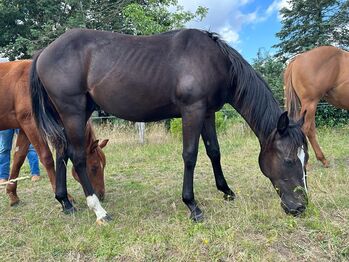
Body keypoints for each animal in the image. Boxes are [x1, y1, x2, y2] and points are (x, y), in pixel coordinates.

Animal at [0, 59, 108, 207]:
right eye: (95, 167)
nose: (101, 195)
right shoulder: (30, 123)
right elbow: (47, 158)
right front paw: (66, 198)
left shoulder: (23, 128)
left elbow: (18, 158)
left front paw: (12, 194)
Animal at [30, 28, 308, 223]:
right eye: (289, 160)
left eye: (306, 159)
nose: (300, 207)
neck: (214, 60)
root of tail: (44, 51)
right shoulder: (192, 111)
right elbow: (190, 155)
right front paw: (192, 205)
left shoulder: (207, 113)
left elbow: (214, 152)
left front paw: (226, 191)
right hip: (73, 112)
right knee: (76, 157)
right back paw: (100, 211)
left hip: (72, 114)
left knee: (61, 153)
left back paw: (66, 203)